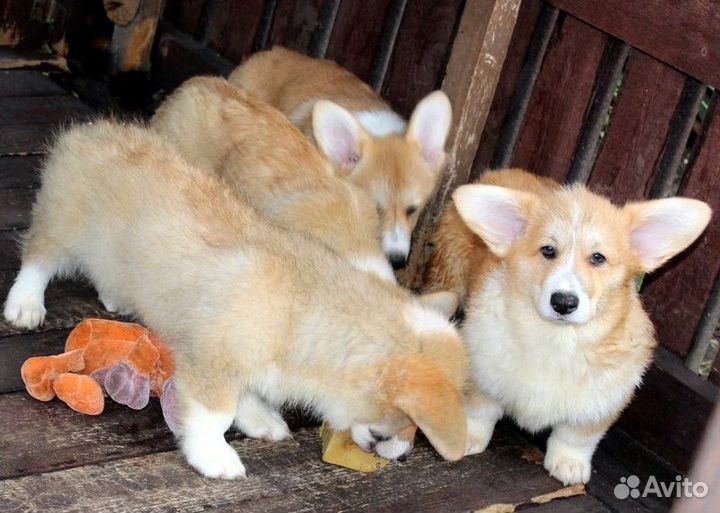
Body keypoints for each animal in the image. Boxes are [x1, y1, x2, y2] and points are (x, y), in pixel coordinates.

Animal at [2, 121, 470, 480]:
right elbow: (216, 415)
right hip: (63, 223)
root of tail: (87, 131)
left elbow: (247, 397)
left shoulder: (240, 364)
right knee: (38, 257)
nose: (405, 455)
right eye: (409, 423)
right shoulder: (214, 362)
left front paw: (262, 421)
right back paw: (26, 306)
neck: (307, 315)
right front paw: (217, 458)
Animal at [422, 168, 708, 484]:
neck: (558, 338)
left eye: (598, 258)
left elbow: (577, 436)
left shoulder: (603, 399)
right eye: (548, 250)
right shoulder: (483, 373)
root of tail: (503, 171)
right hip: (448, 276)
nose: (563, 302)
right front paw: (468, 436)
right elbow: (479, 410)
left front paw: (569, 463)